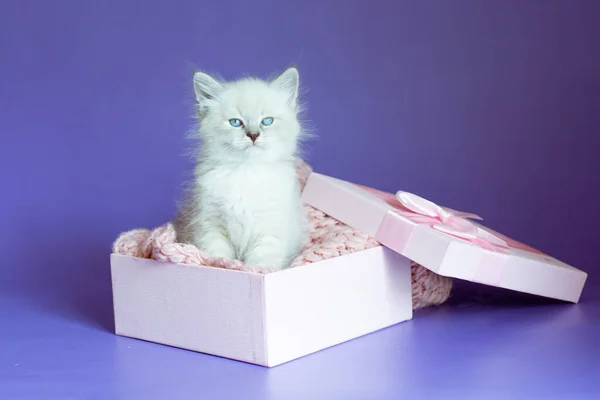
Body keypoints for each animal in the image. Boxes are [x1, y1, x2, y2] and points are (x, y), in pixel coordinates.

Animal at [172, 67, 304, 270]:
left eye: (267, 121)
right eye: (235, 122)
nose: (253, 135)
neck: (245, 171)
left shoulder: (269, 230)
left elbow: (261, 262)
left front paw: (257, 270)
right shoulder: (211, 226)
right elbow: (217, 256)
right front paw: (224, 264)